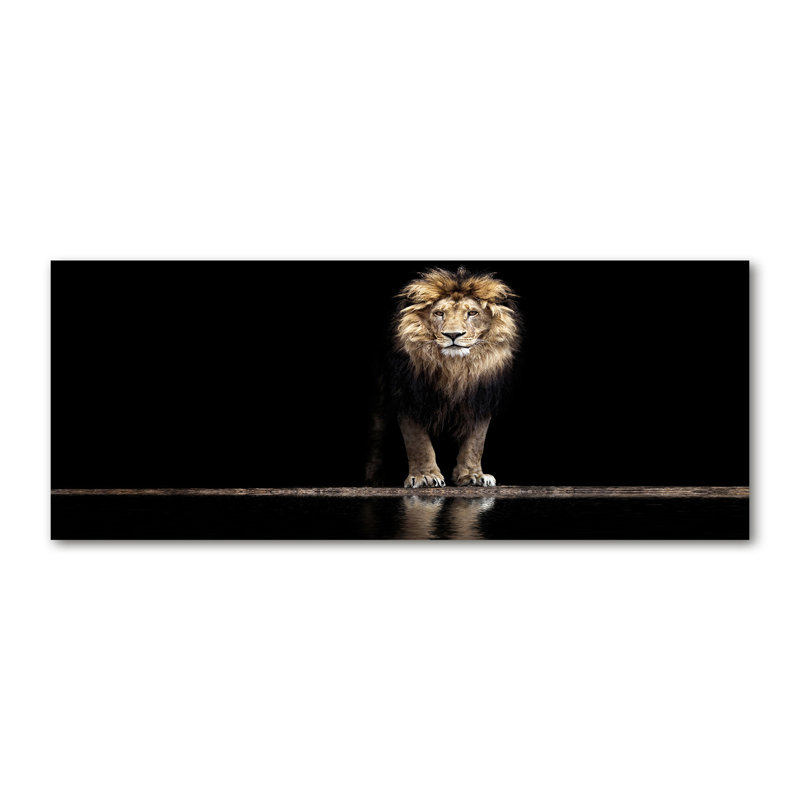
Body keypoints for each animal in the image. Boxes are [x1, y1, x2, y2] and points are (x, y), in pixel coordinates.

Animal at [379, 266, 520, 488]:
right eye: (439, 313)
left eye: (472, 313)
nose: (453, 335)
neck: (455, 368)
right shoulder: (409, 396)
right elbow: (418, 442)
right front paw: (425, 476)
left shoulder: (480, 399)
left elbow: (475, 442)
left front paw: (473, 475)